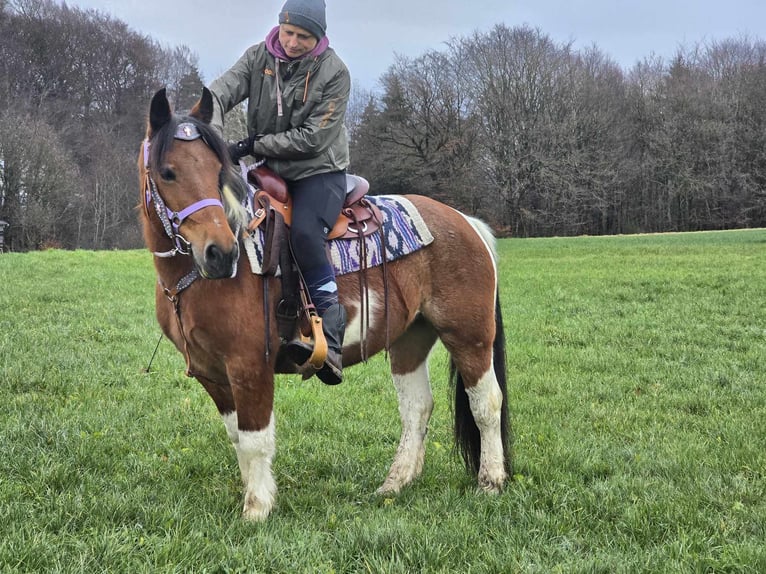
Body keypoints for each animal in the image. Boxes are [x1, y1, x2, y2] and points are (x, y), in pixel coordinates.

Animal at [141, 88, 512, 524]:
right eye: (167, 172)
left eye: (218, 170)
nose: (220, 253)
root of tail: (468, 223)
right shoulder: (213, 375)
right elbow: (236, 438)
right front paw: (253, 496)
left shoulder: (250, 367)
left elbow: (254, 440)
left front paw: (257, 509)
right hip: (409, 339)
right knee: (417, 408)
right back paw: (396, 483)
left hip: (469, 336)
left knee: (486, 403)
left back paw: (490, 482)